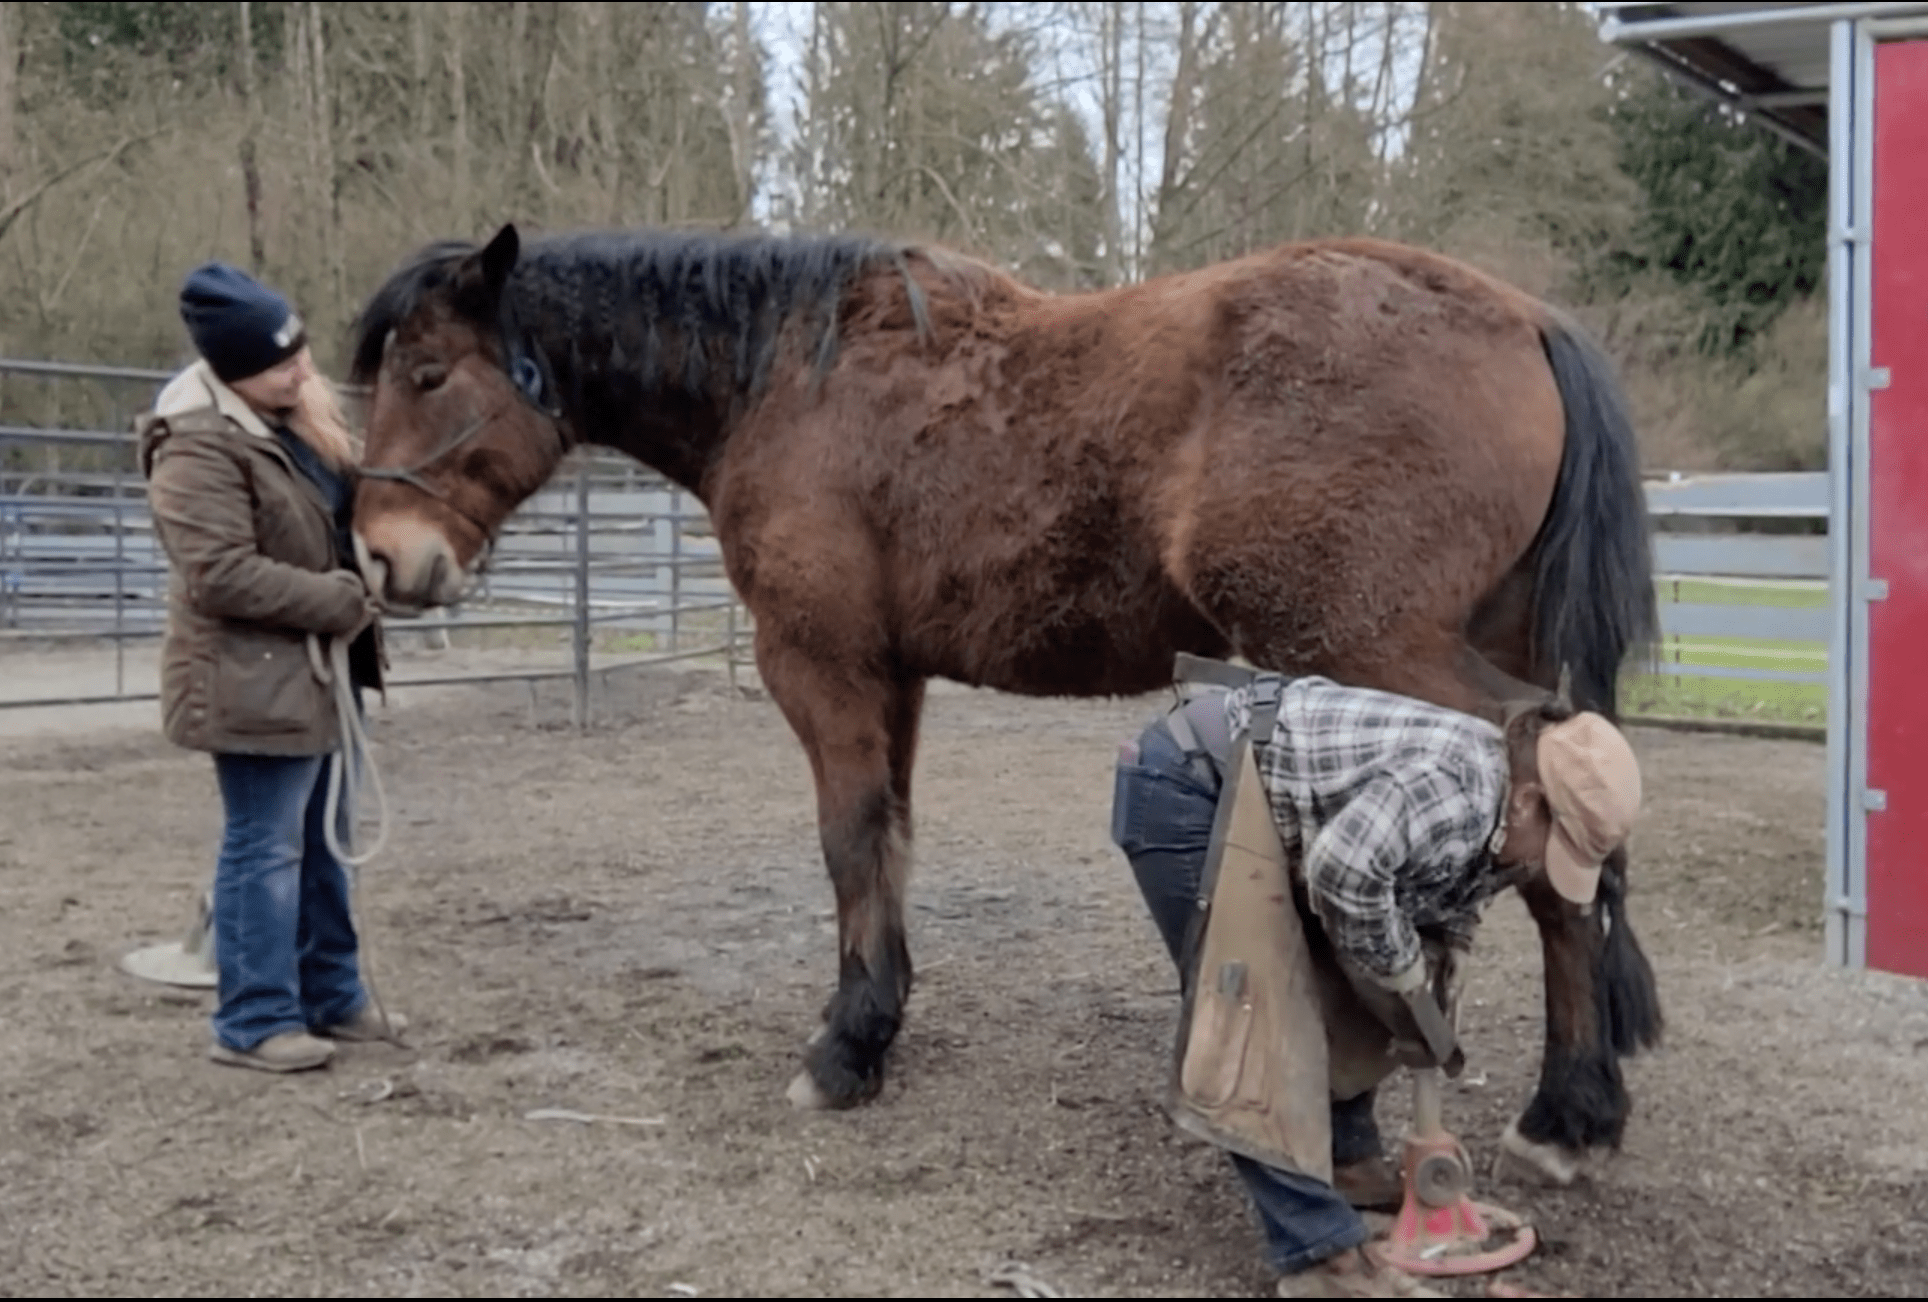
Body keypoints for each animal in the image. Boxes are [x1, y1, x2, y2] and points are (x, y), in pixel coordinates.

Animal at [354, 226, 1665, 1172]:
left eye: (427, 373)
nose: (379, 559)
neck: (787, 381)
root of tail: (1525, 317)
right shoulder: (893, 677)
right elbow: (888, 839)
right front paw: (880, 1016)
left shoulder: (819, 665)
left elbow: (847, 840)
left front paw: (844, 1049)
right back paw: (1584, 1100)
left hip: (1382, 651)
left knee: (1549, 792)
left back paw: (1566, 1113)